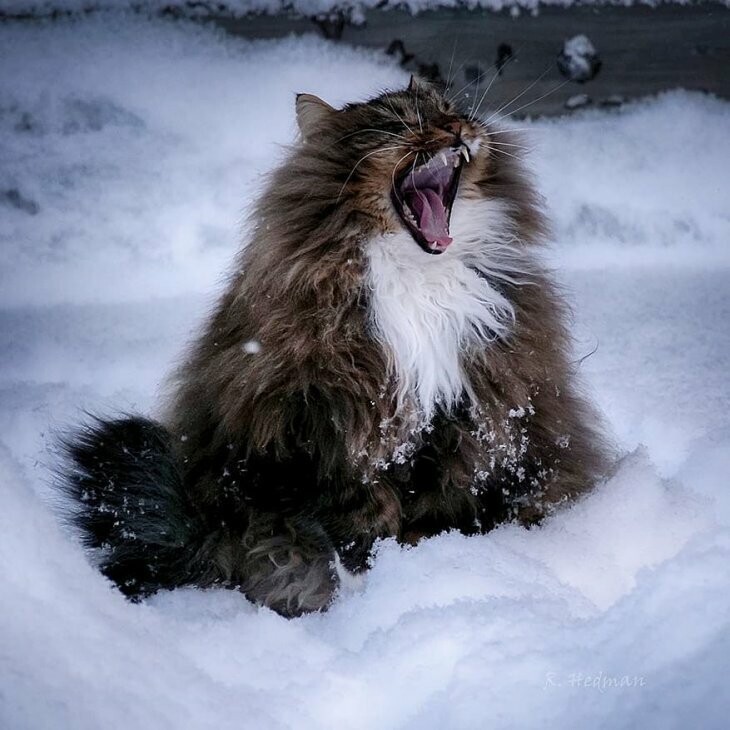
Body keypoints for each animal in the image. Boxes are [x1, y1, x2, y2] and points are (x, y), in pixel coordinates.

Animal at [59, 77, 604, 616]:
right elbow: (362, 530)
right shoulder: (323, 425)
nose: (455, 128)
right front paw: (382, 592)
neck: (420, 279)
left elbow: (446, 506)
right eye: (398, 124)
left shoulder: (478, 413)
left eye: (452, 110)